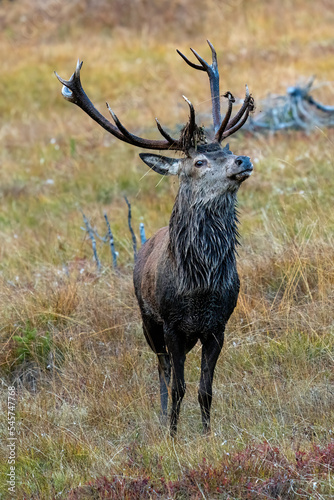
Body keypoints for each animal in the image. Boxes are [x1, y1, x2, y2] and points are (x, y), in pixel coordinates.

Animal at [56, 41, 253, 436]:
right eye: (199, 163)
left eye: (226, 150)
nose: (243, 160)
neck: (200, 286)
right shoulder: (172, 325)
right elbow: (177, 386)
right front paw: (173, 434)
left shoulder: (218, 325)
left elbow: (206, 389)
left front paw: (207, 434)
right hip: (148, 322)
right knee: (161, 370)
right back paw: (163, 416)